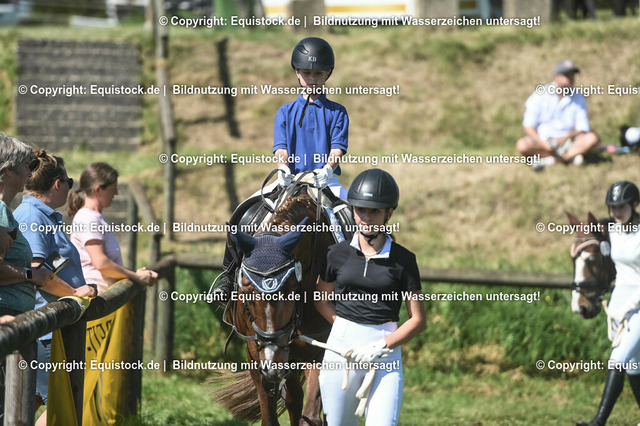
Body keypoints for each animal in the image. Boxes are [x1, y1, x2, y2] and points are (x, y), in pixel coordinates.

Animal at [213, 182, 340, 426]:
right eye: (247, 292)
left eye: (291, 290)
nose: (273, 365)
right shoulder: (257, 353)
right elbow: (271, 415)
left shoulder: (319, 351)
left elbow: (311, 416)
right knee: (293, 399)